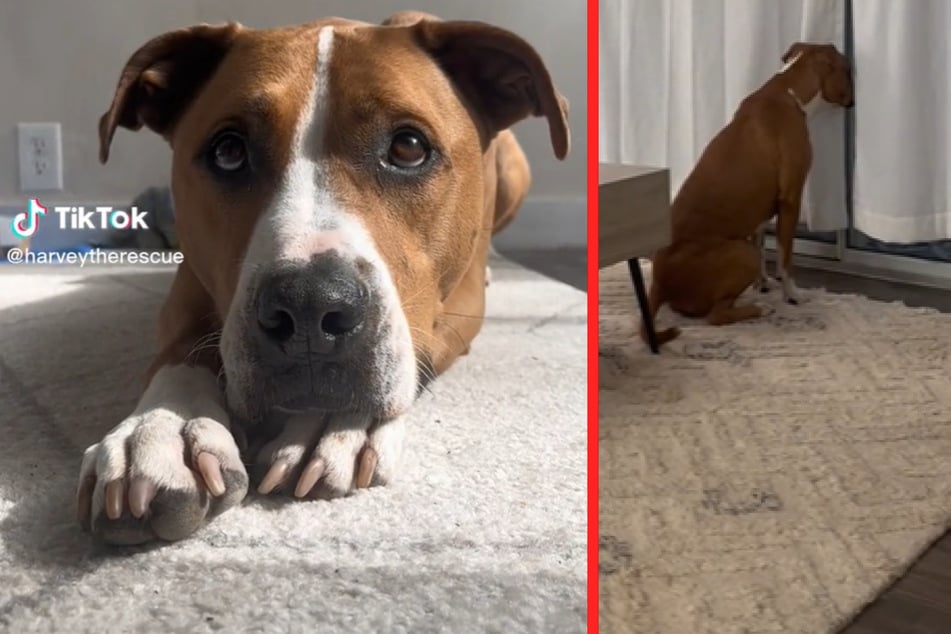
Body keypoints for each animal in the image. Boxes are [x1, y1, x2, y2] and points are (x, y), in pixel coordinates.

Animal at [78, 9, 568, 544]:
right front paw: (159, 428)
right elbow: (179, 352)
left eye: (409, 147)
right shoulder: (188, 284)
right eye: (227, 151)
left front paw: (334, 420)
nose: (309, 305)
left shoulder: (461, 300)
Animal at [640, 42, 856, 348]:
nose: (854, 99)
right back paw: (759, 309)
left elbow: (762, 242)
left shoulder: (761, 209)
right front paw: (791, 294)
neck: (789, 90)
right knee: (716, 315)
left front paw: (763, 283)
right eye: (848, 70)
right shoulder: (790, 200)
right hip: (742, 254)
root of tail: (659, 283)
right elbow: (785, 256)